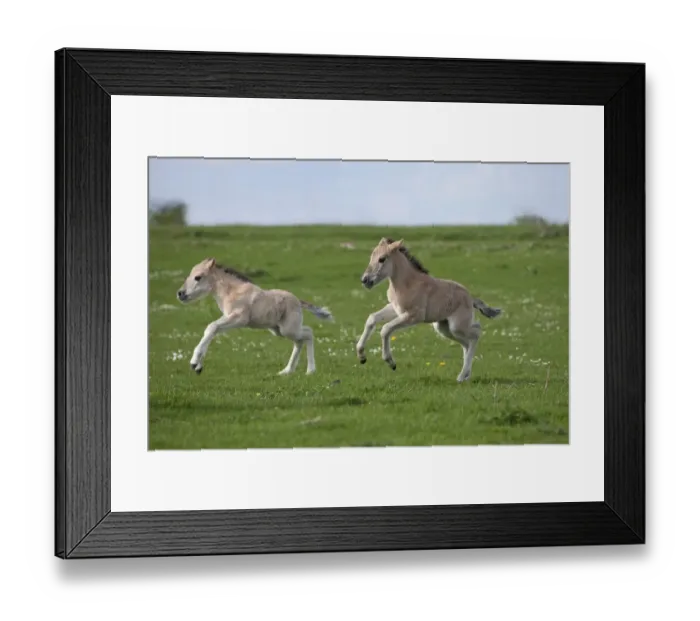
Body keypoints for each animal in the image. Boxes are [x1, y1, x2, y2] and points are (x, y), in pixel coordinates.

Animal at [176, 257, 333, 376]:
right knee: (299, 341)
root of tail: (299, 301)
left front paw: (194, 362)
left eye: (198, 277)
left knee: (308, 333)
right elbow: (211, 330)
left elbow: (212, 327)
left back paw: (310, 370)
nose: (180, 294)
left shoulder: (239, 319)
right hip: (279, 330)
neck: (232, 292)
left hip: (288, 329)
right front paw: (198, 366)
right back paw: (287, 371)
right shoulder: (228, 318)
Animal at [355, 238, 502, 382]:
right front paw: (361, 356)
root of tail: (471, 299)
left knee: (476, 333)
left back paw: (461, 377)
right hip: (444, 328)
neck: (407, 283)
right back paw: (466, 375)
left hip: (457, 326)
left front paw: (391, 362)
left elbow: (385, 329)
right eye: (371, 257)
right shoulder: (395, 309)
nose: (365, 280)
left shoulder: (414, 315)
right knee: (467, 343)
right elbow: (372, 318)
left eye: (382, 259)